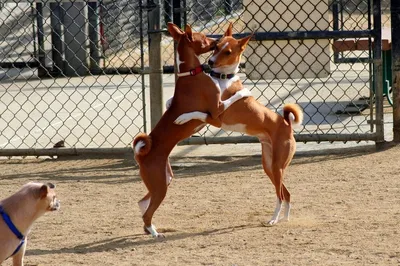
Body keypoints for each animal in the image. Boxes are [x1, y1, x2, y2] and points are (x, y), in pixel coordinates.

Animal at [133, 22, 252, 238]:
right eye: (204, 38)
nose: (215, 41)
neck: (189, 73)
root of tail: (141, 156)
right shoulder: (217, 110)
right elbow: (234, 97)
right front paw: (245, 90)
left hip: (165, 179)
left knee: (142, 203)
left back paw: (149, 228)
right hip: (160, 186)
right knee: (147, 211)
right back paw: (153, 232)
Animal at [175, 23, 304, 225]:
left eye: (228, 52)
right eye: (216, 46)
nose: (210, 62)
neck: (224, 78)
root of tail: (286, 124)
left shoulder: (215, 117)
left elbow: (196, 112)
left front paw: (182, 117)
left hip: (277, 166)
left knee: (280, 195)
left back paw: (274, 219)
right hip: (269, 166)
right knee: (287, 193)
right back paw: (285, 218)